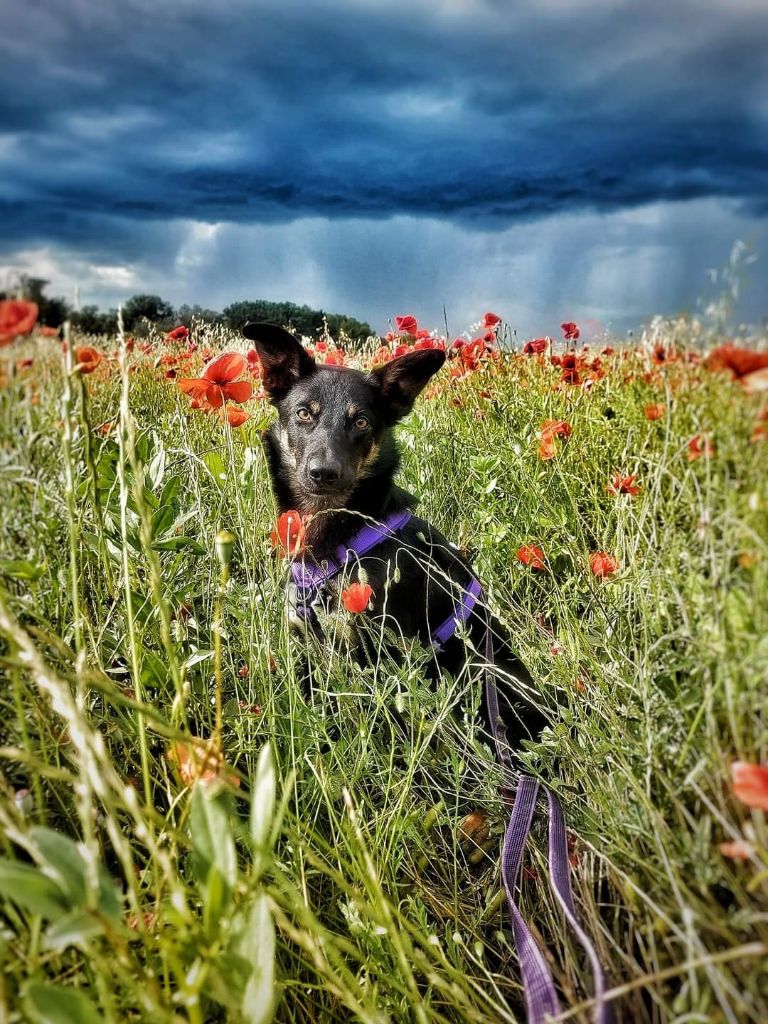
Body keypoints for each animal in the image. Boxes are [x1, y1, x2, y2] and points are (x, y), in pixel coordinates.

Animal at [241, 323, 548, 757]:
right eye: (303, 413)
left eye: (361, 422)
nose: (324, 473)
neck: (338, 535)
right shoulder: (306, 645)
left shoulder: (377, 655)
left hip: (481, 674)